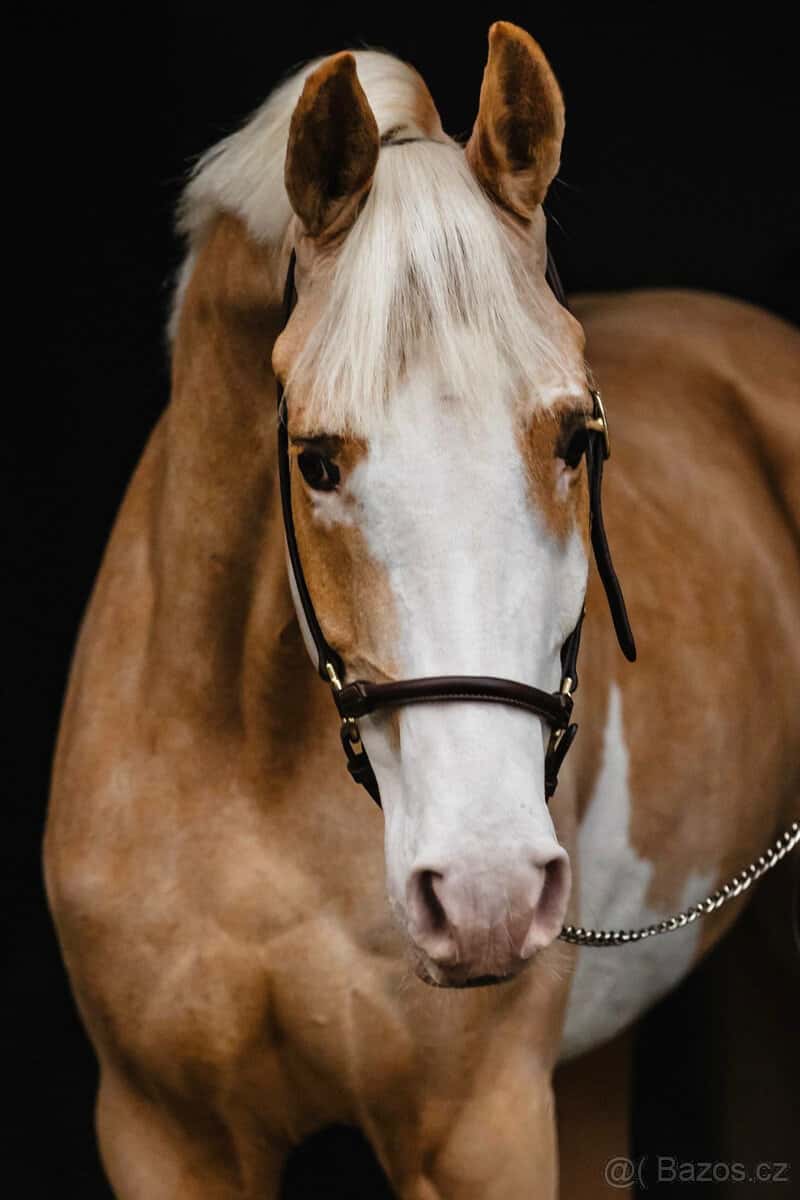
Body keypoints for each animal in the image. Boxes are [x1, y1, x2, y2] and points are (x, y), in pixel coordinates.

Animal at [45, 22, 800, 1199]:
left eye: (574, 437)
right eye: (314, 458)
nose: (486, 889)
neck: (246, 766)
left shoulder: (479, 1131)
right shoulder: (163, 1134)